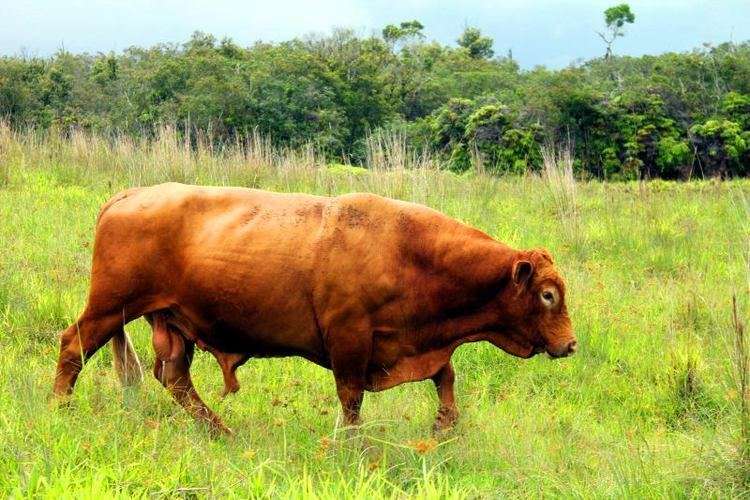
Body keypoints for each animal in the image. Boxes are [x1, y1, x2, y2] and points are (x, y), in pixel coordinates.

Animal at [53, 183, 576, 434]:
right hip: (109, 309)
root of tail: (130, 194)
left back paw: (221, 431)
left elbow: (444, 377)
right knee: (72, 347)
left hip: (169, 322)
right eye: (548, 294)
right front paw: (349, 442)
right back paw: (60, 408)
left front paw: (445, 424)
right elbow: (351, 399)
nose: (570, 344)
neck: (408, 251)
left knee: (176, 379)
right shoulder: (350, 340)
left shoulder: (412, 343)